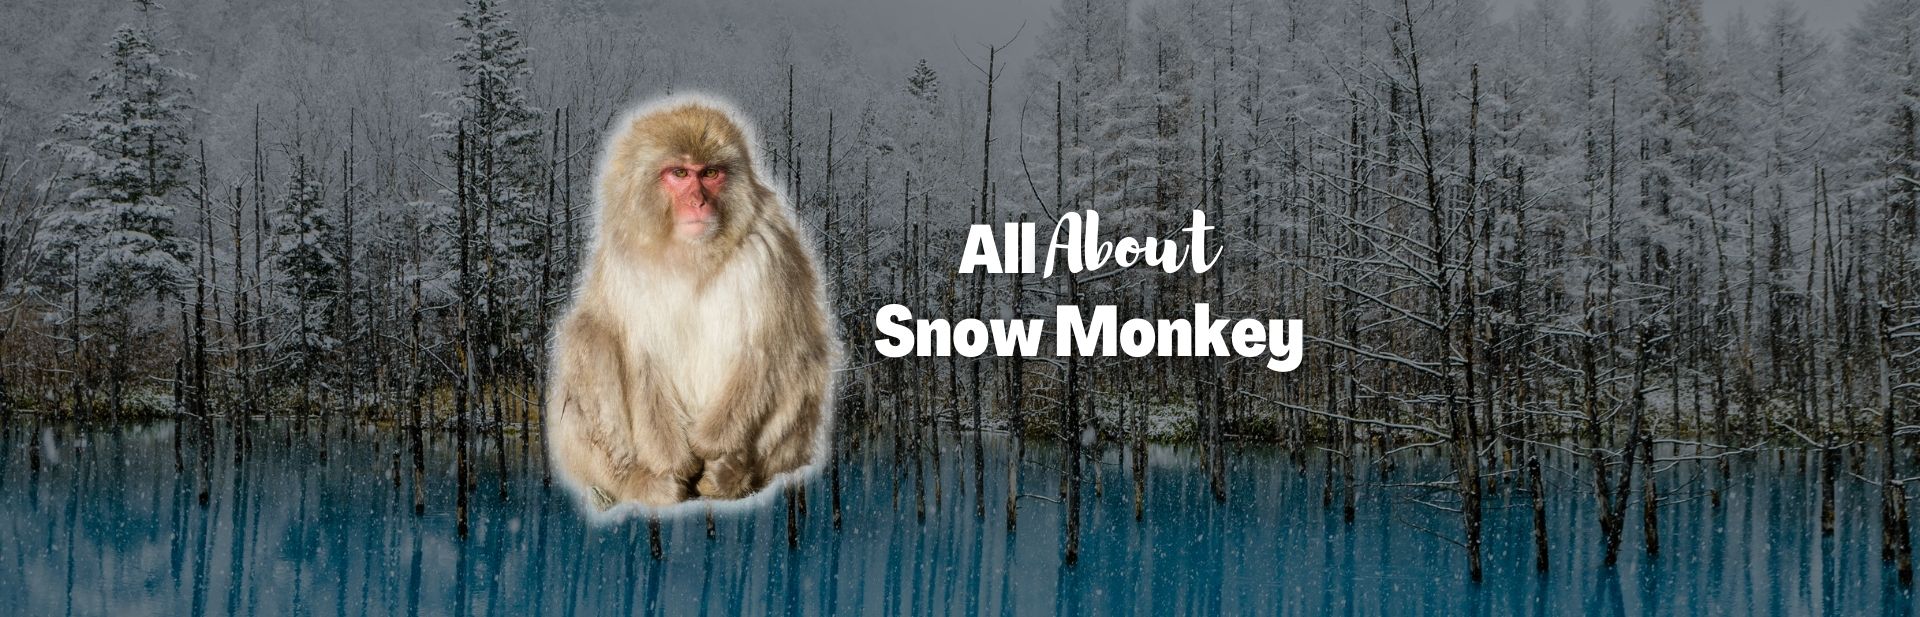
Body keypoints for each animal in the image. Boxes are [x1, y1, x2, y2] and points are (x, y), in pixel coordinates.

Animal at [545, 95, 837, 512]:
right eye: (680, 173)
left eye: (711, 173)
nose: (699, 201)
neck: (691, 256)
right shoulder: (625, 265)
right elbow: (642, 360)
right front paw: (674, 466)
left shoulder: (769, 249)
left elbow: (761, 348)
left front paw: (710, 448)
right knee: (589, 336)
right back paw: (638, 483)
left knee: (802, 351)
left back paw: (733, 475)